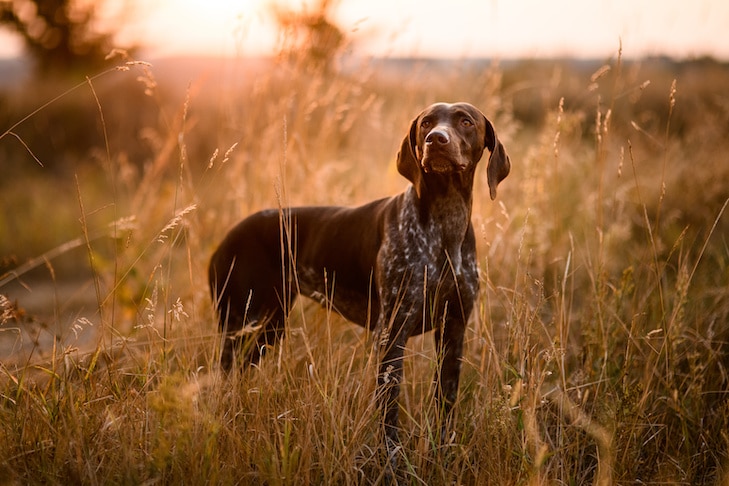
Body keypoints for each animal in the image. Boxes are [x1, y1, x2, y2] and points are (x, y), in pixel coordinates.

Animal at [208, 101, 510, 470]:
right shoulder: (392, 335)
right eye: (426, 123)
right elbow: (389, 411)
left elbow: (445, 402)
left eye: (466, 121)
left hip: (266, 329)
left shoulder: (453, 332)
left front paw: (442, 456)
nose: (436, 140)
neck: (444, 225)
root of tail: (225, 240)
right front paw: (392, 461)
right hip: (244, 325)